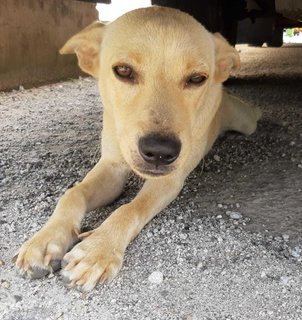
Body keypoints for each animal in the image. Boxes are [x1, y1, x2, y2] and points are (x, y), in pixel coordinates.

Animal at [14, 6, 260, 292]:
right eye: (123, 70)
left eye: (197, 78)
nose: (160, 152)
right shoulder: (111, 167)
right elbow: (73, 194)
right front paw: (46, 239)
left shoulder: (168, 181)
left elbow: (130, 208)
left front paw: (97, 250)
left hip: (245, 121)